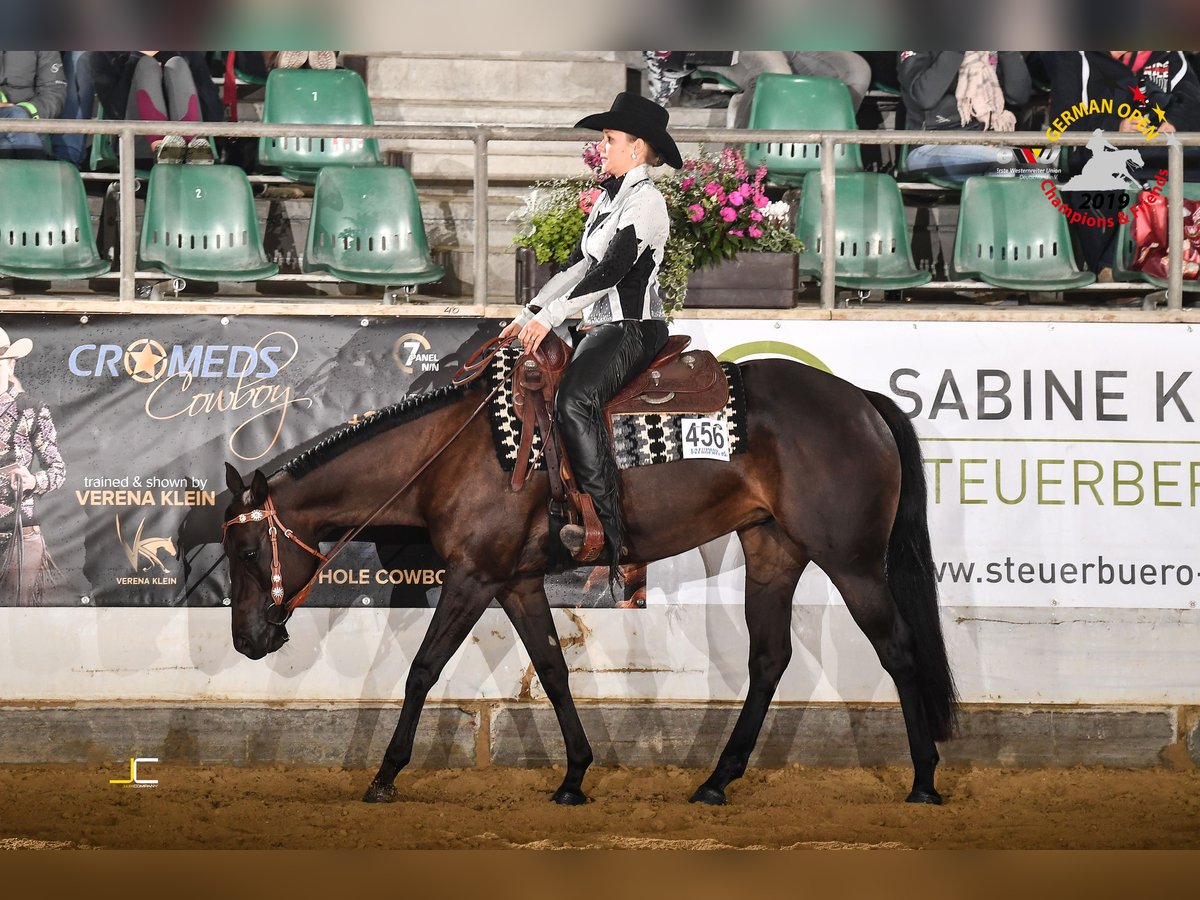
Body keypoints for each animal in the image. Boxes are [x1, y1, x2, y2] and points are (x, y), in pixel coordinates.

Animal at [223, 355, 955, 806]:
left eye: (248, 551)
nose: (247, 641)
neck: (453, 455)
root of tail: (860, 401)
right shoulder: (515, 582)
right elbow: (551, 670)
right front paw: (574, 775)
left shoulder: (473, 576)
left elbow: (423, 668)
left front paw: (385, 774)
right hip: (774, 551)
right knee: (769, 659)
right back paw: (716, 781)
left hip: (852, 561)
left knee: (898, 650)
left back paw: (923, 779)